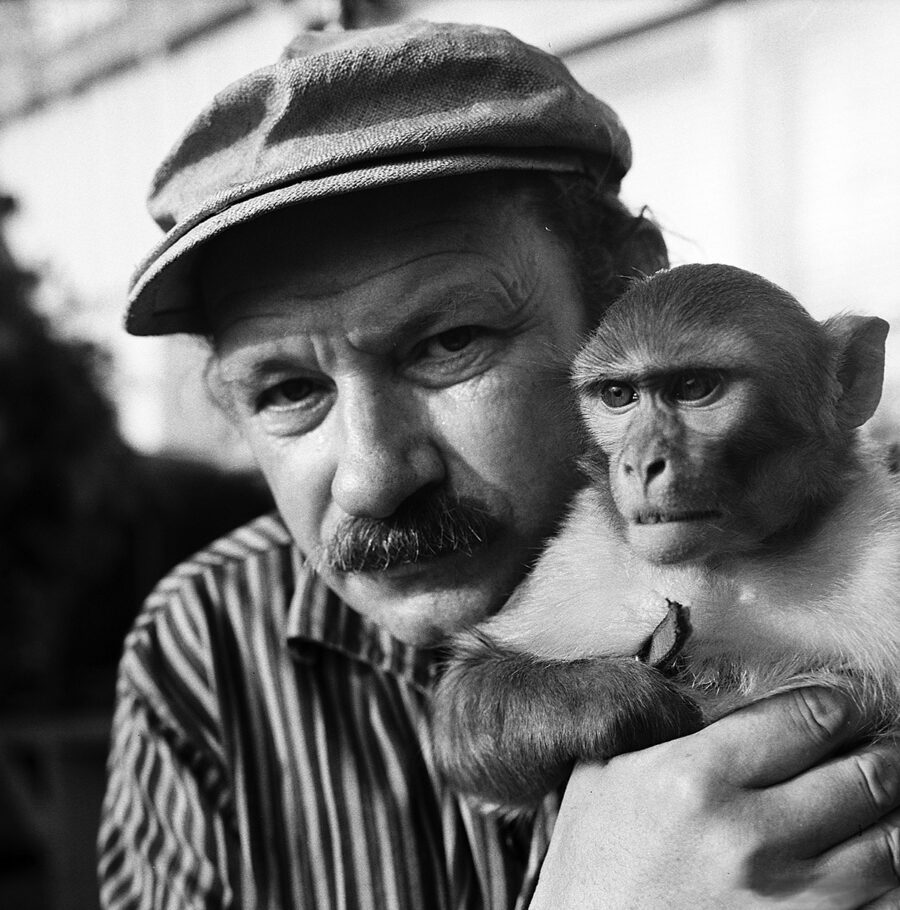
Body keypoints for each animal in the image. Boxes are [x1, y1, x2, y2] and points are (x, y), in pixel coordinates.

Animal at [431, 263, 900, 811]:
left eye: (693, 386)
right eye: (618, 395)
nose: (640, 463)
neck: (727, 562)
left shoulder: (882, 549)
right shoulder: (580, 548)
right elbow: (469, 690)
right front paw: (639, 700)